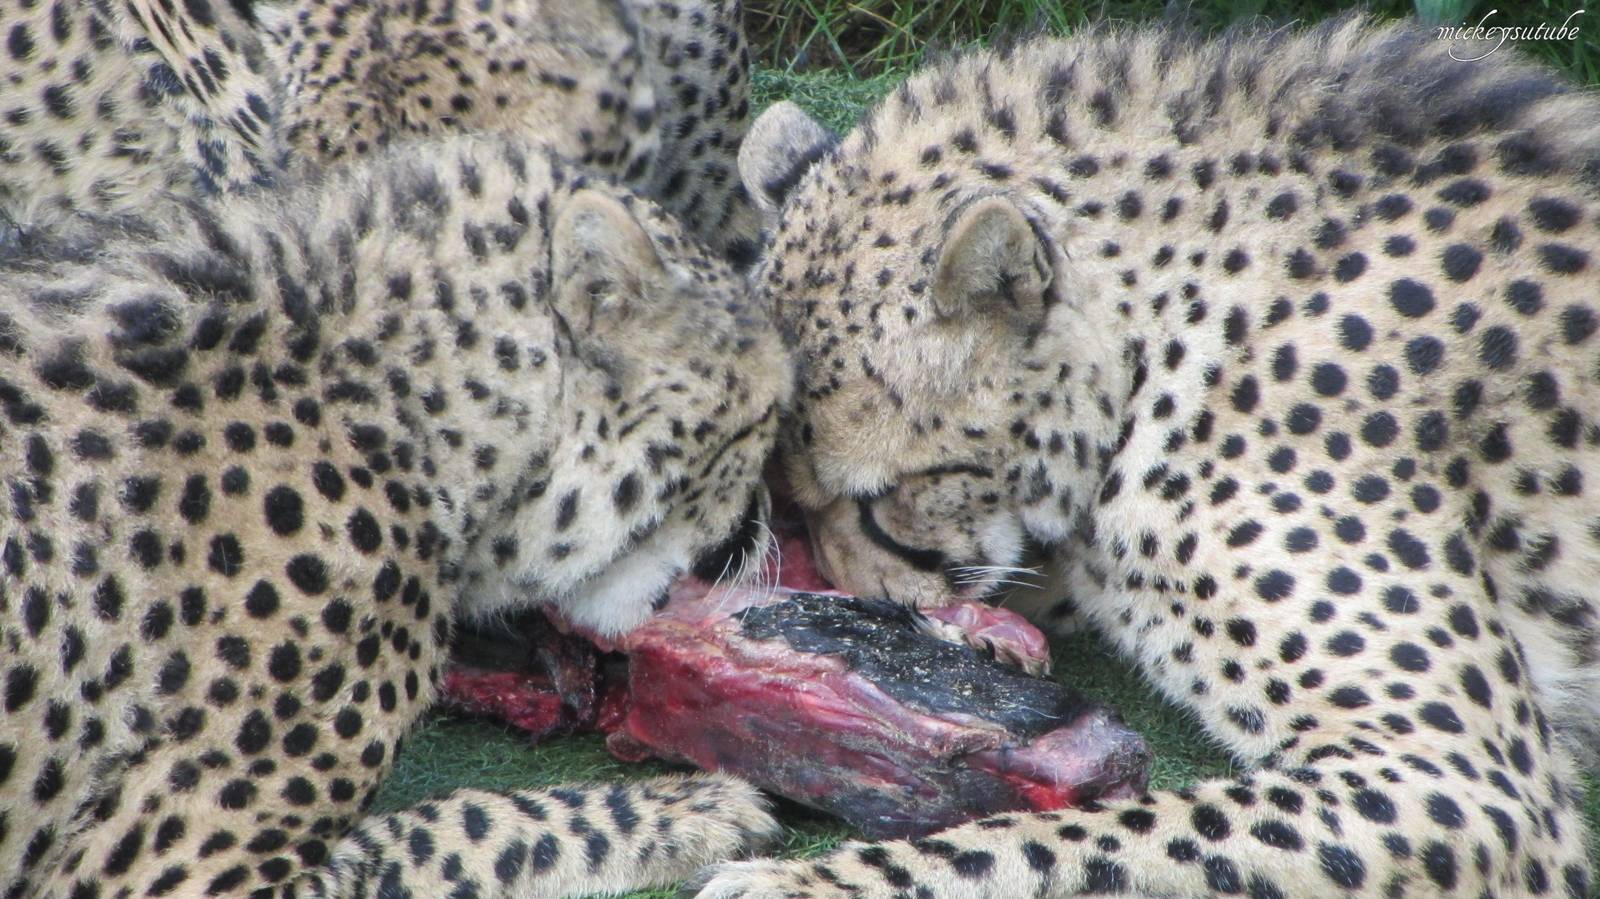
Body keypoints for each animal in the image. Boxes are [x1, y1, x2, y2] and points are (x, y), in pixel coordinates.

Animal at [693, 16, 1600, 899]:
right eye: (786, 491)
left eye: (879, 498)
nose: (866, 608)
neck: (1164, 333)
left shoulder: (1463, 775)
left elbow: (1079, 836)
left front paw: (809, 881)